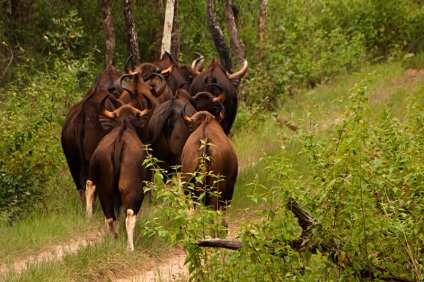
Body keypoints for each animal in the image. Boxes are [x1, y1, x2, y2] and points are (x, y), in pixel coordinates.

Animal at [85, 92, 152, 251]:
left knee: (110, 217)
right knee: (130, 216)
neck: (124, 125)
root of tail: (119, 142)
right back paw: (130, 248)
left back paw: (114, 238)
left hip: (105, 190)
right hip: (132, 190)